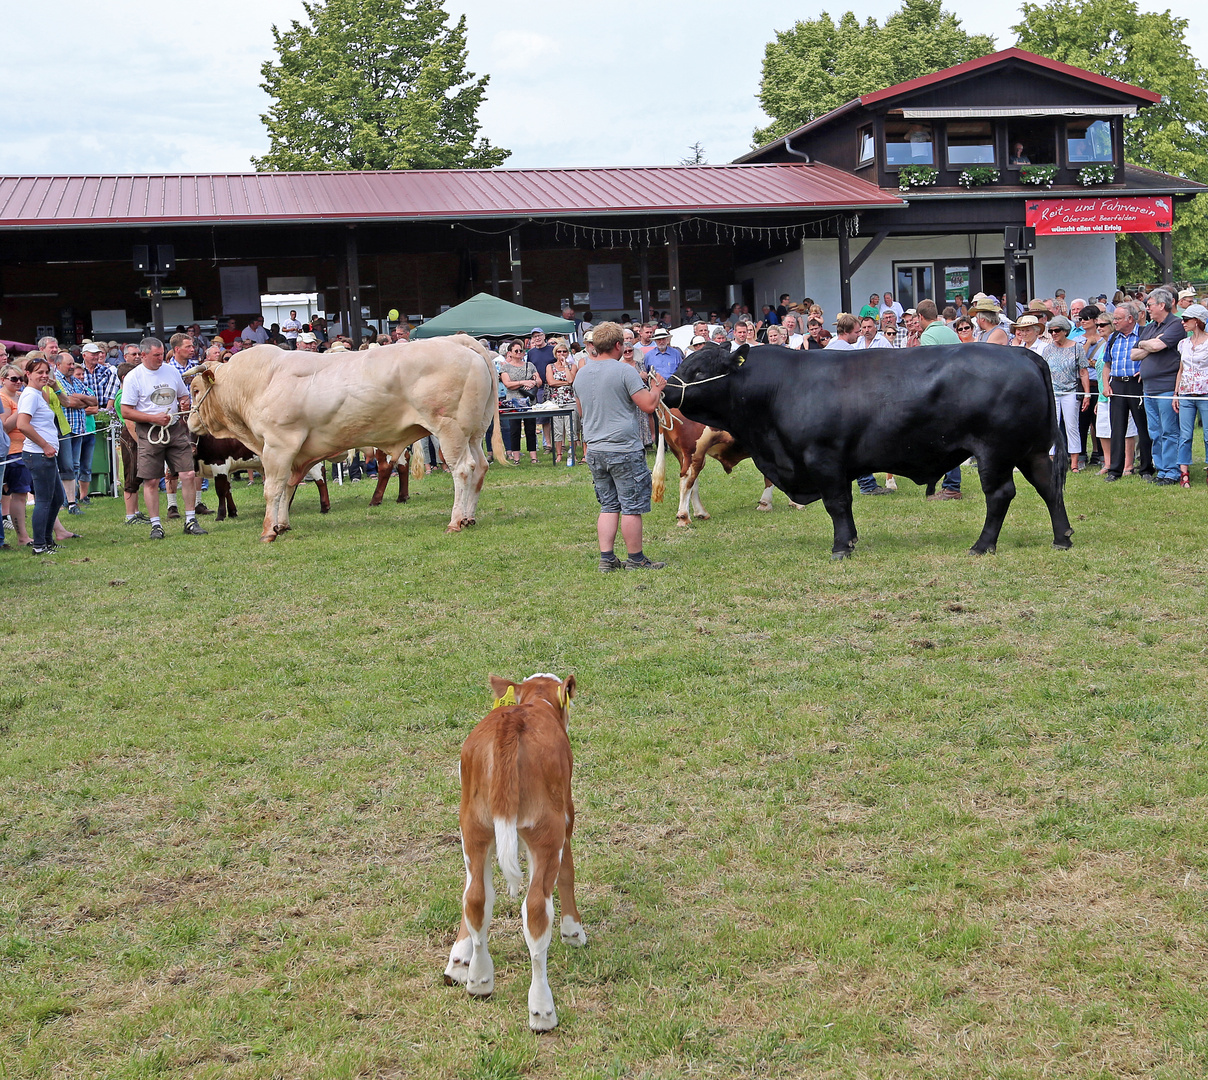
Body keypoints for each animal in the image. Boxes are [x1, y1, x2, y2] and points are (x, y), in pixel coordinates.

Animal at [186, 335, 507, 541]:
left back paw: (455, 522)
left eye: (195, 390)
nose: (188, 422)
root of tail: (458, 340)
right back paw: (468, 517)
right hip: (474, 432)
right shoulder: (292, 454)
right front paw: (282, 525)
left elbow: (273, 489)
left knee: (462, 470)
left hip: (450, 429)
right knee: (480, 467)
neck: (259, 381)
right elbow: (288, 488)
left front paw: (268, 531)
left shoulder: (278, 445)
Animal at [446, 671, 587, 1034]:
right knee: (536, 910)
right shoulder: (568, 816)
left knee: (476, 897)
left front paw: (459, 959)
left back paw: (479, 979)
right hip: (547, 832)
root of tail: (510, 725)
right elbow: (568, 874)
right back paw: (542, 1010)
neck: (535, 704)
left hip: (473, 825)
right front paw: (573, 931)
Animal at [652, 403, 802, 526]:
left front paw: (765, 504)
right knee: (687, 480)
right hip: (694, 450)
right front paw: (796, 502)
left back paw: (701, 513)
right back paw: (684, 517)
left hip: (685, 455)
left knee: (692, 481)